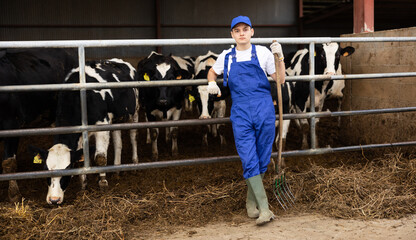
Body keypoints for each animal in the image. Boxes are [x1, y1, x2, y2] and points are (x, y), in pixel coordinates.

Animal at [30, 58, 141, 204]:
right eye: (45, 169)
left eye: (68, 168)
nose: (54, 199)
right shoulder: (81, 133)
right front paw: (83, 186)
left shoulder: (102, 125)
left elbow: (100, 158)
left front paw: (103, 183)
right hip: (117, 119)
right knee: (118, 143)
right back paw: (116, 169)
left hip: (135, 112)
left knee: (134, 136)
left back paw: (134, 163)